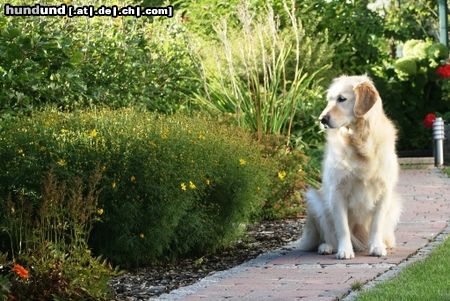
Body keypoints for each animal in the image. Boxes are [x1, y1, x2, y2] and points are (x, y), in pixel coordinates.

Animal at [298, 74, 400, 258]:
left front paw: (377, 247)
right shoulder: (337, 192)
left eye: (341, 99)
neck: (360, 142)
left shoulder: (384, 191)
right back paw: (327, 247)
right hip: (315, 201)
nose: (322, 119)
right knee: (328, 235)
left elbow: (376, 225)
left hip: (395, 203)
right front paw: (345, 250)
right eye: (329, 100)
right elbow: (342, 228)